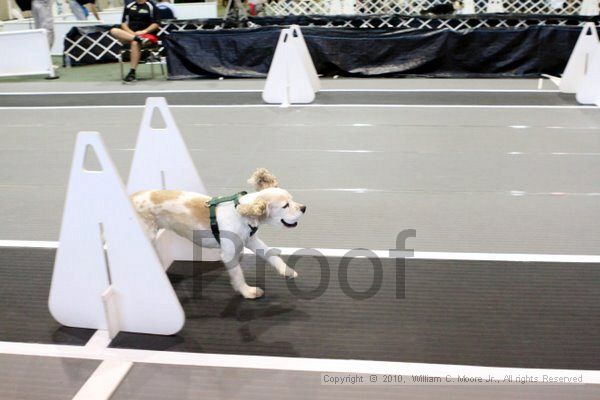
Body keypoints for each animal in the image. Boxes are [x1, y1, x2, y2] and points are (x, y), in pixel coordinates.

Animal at [133, 167, 308, 298]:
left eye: (292, 199)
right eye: (285, 206)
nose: (304, 208)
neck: (242, 214)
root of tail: (132, 197)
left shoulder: (251, 240)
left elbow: (271, 254)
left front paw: (287, 271)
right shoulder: (228, 253)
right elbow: (237, 273)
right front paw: (248, 291)